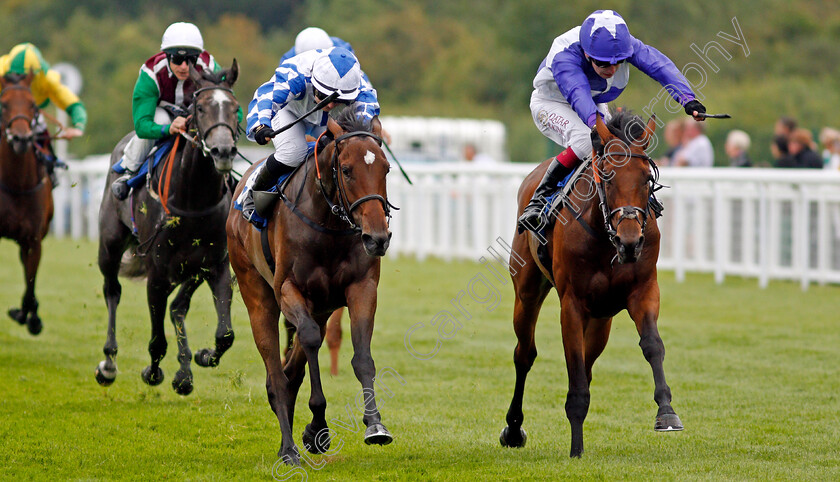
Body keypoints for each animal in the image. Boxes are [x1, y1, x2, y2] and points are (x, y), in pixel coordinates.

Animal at [95, 61, 240, 396]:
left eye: (235, 107)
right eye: (200, 108)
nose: (223, 151)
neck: (194, 200)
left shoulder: (215, 265)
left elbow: (225, 334)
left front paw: (202, 357)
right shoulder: (158, 273)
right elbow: (157, 340)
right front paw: (152, 372)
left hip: (191, 269)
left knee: (177, 307)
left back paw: (185, 371)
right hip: (110, 244)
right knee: (112, 290)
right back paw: (109, 363)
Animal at [228, 110, 396, 466]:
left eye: (385, 168)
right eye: (346, 170)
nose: (377, 238)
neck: (327, 224)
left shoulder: (361, 288)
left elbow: (361, 355)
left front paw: (375, 425)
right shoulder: (288, 289)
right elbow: (307, 341)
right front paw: (318, 426)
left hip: (321, 307)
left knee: (291, 370)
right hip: (257, 294)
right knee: (277, 371)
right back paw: (288, 448)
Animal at [498, 112, 684, 456]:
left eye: (646, 179)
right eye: (608, 176)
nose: (629, 242)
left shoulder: (643, 291)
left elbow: (652, 345)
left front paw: (667, 413)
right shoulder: (572, 304)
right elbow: (574, 367)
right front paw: (576, 449)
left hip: (602, 318)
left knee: (587, 361)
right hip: (527, 291)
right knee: (524, 353)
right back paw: (513, 430)